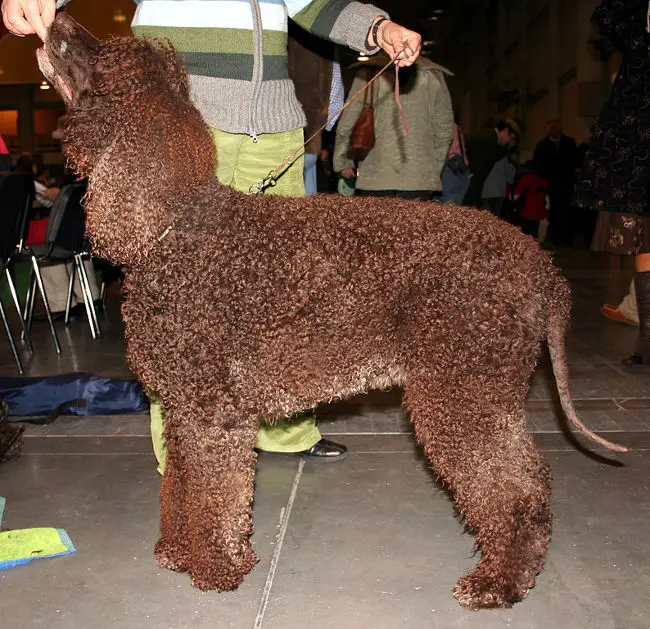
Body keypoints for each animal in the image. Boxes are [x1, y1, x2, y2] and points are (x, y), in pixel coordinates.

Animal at [39, 11, 624, 608]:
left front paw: (216, 568)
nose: (56, 17)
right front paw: (180, 552)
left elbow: (215, 497)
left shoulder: (213, 416)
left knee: (518, 491)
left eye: (106, 61)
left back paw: (499, 583)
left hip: (465, 393)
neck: (173, 228)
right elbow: (180, 484)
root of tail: (540, 265)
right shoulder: (183, 412)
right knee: (531, 481)